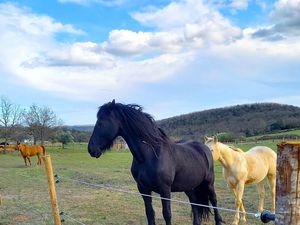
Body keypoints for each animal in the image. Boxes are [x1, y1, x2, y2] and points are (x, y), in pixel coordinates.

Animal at [88, 100, 221, 225]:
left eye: (101, 122)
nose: (91, 149)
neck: (149, 155)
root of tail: (204, 147)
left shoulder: (165, 189)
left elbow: (167, 214)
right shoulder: (143, 189)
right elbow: (150, 213)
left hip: (209, 183)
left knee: (214, 201)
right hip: (189, 186)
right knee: (194, 203)